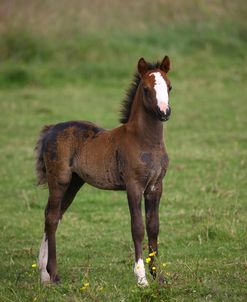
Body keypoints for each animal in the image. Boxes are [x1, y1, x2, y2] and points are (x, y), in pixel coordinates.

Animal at [35, 55, 172, 286]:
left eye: (170, 86)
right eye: (146, 89)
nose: (164, 112)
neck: (145, 141)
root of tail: (51, 129)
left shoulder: (155, 186)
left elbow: (154, 227)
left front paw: (158, 276)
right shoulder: (133, 186)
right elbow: (137, 228)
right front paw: (141, 278)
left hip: (74, 182)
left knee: (52, 214)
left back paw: (44, 274)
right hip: (60, 179)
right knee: (52, 217)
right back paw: (53, 274)